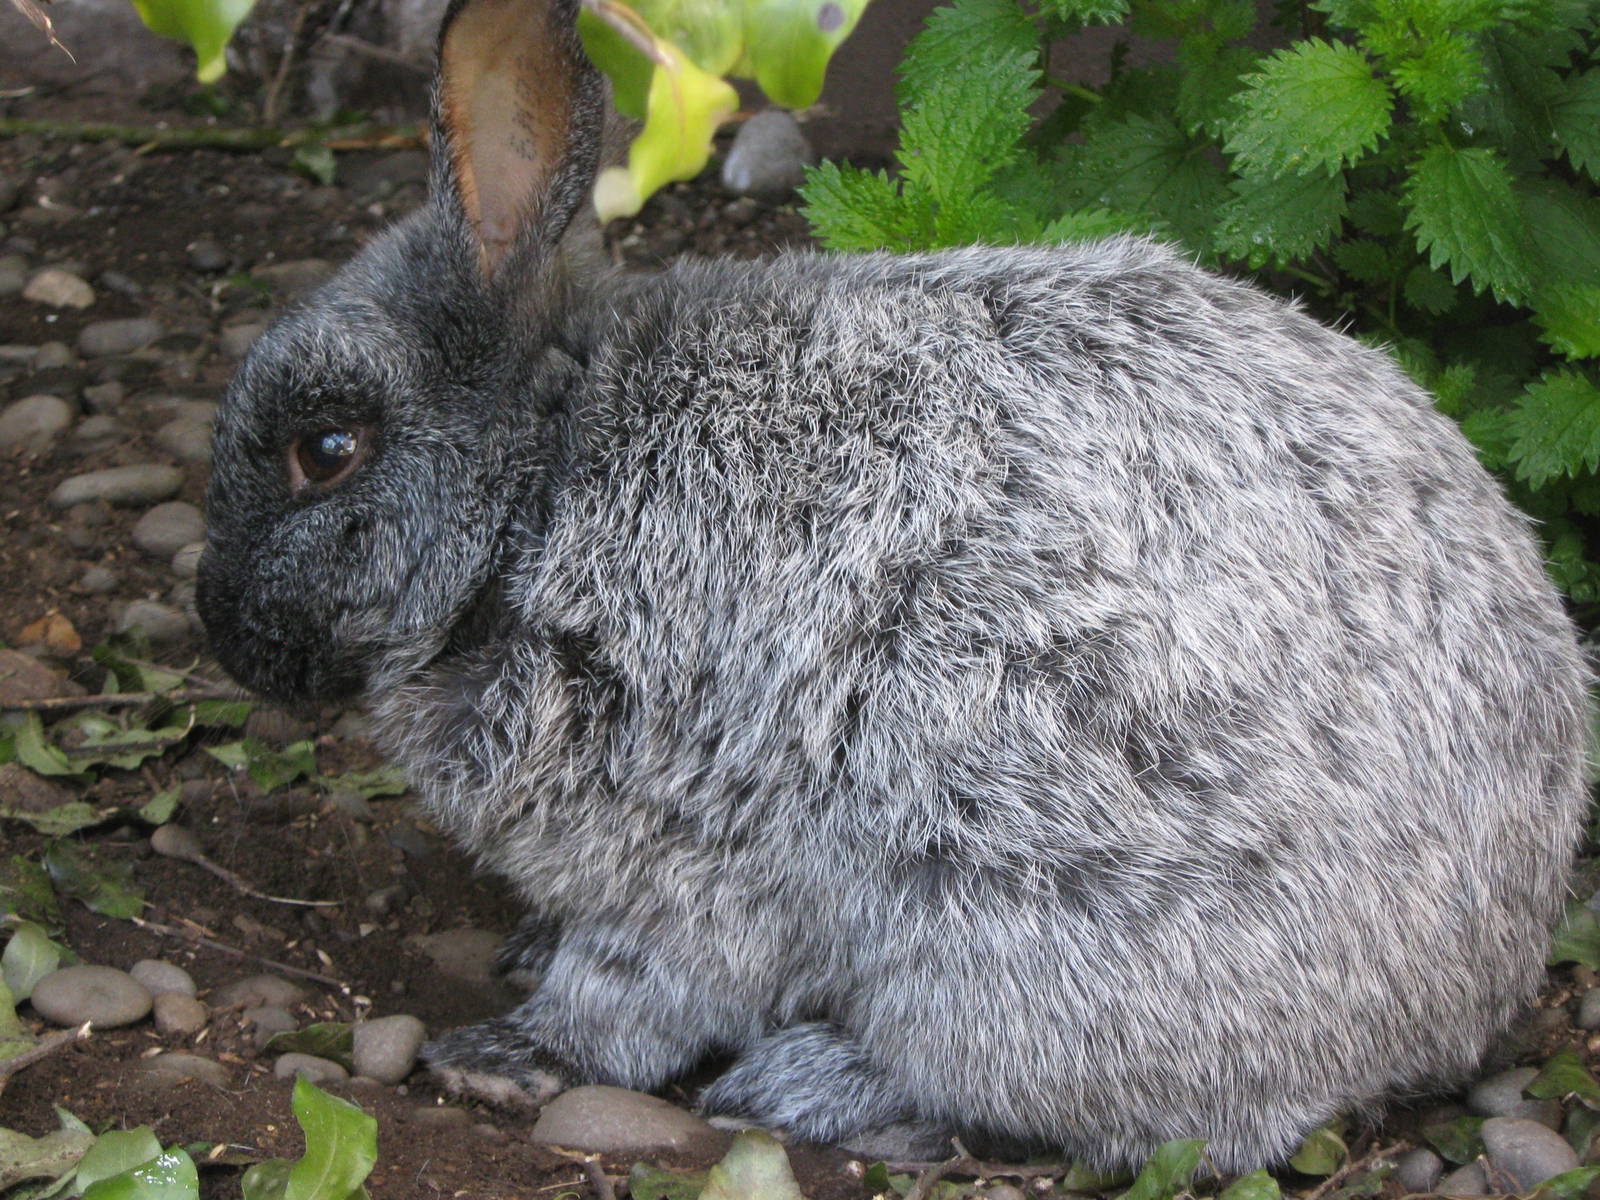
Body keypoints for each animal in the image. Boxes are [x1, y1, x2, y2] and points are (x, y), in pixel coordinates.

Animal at [195, 0, 1593, 1173]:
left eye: (327, 448)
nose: (222, 637)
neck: (535, 490)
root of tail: (1472, 984)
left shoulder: (675, 844)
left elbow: (632, 995)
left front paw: (503, 1055)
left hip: (1001, 941)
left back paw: (808, 1086)